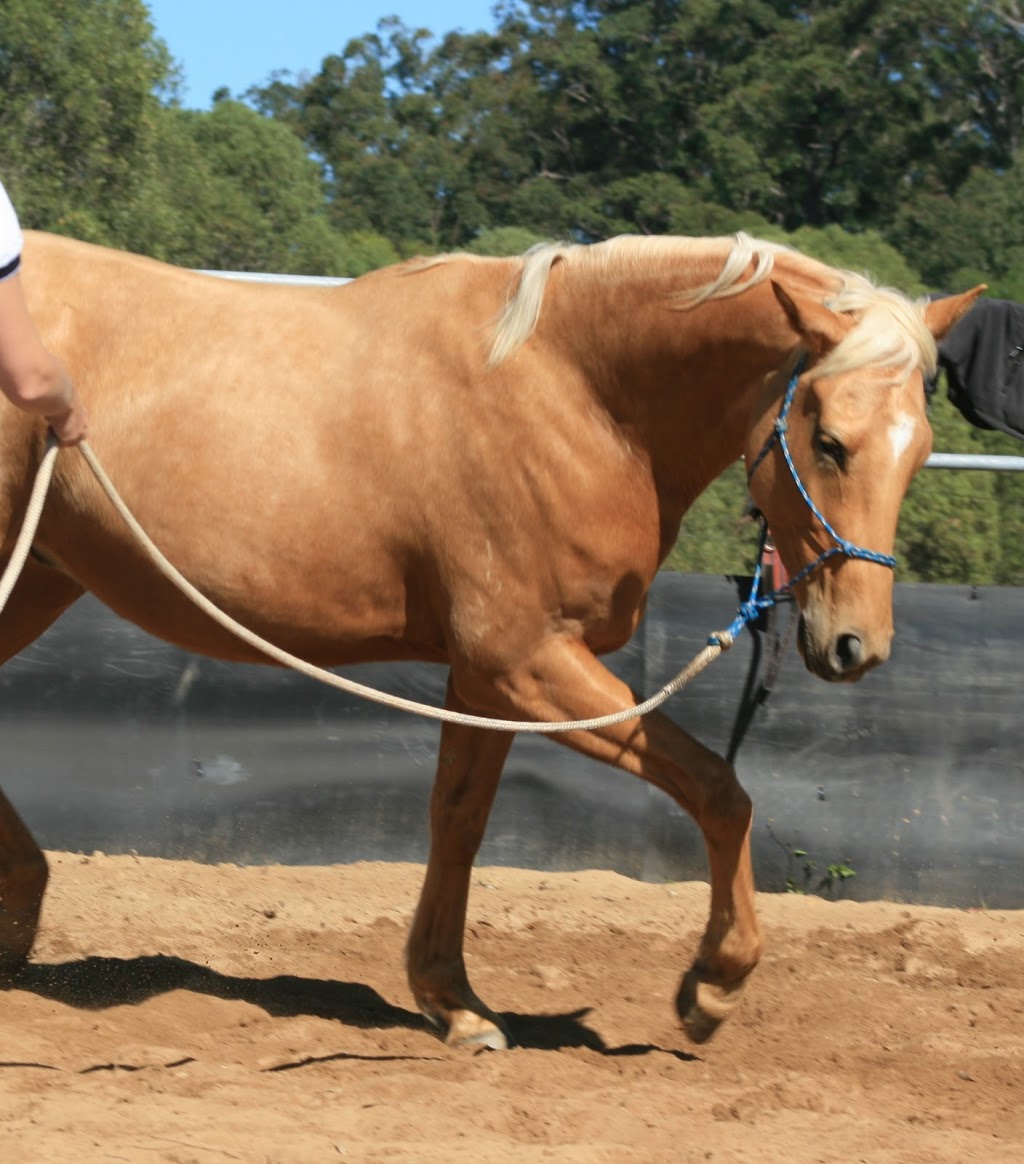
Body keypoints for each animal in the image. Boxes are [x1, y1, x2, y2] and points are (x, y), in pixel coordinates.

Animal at [0, 231, 977, 1052]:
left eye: (921, 450)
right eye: (829, 440)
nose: (856, 645)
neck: (575, 393)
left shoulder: (482, 680)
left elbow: (458, 819)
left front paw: (454, 1002)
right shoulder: (526, 664)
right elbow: (718, 789)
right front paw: (712, 986)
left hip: (39, 578)